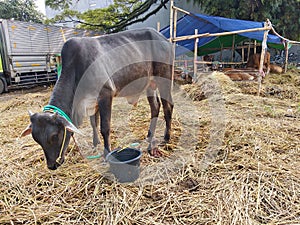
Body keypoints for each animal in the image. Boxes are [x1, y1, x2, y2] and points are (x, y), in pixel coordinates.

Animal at [20, 27, 173, 170]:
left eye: (54, 136)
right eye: (36, 139)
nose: (52, 165)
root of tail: (163, 38)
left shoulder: (105, 95)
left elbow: (104, 127)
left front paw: (106, 154)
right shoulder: (92, 102)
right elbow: (94, 123)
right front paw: (95, 144)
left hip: (164, 78)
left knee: (168, 106)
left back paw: (166, 138)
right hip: (150, 84)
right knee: (155, 107)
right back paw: (149, 136)